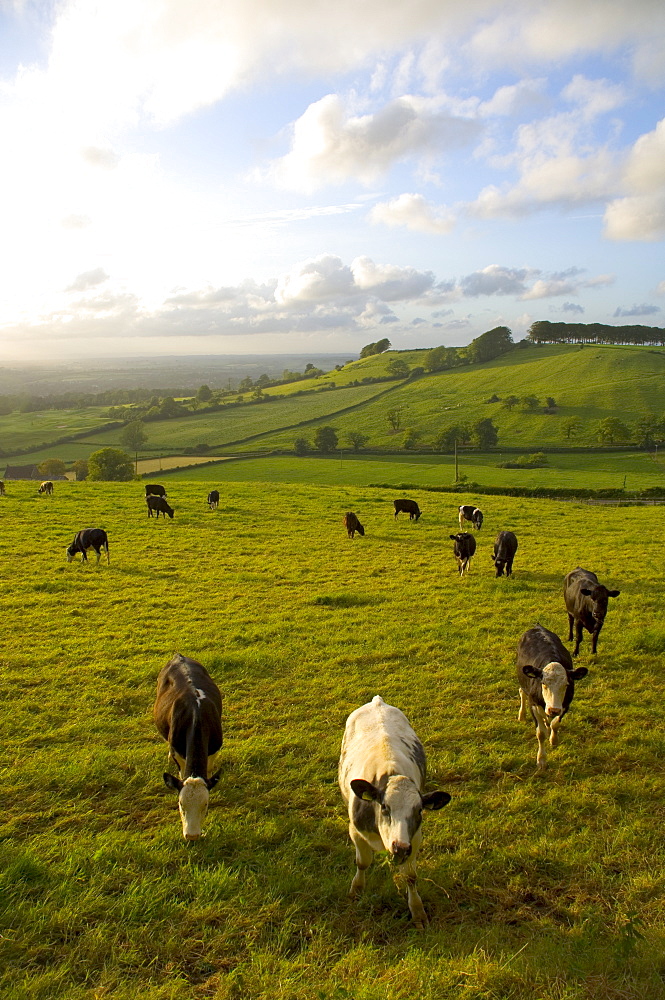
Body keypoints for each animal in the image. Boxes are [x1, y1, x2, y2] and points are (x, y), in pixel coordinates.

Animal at [152, 652, 223, 840]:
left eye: (205, 805)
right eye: (181, 804)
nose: (192, 836)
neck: (196, 715)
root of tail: (179, 656)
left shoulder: (214, 749)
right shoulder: (178, 751)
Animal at [338, 696, 452, 928]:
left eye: (419, 810)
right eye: (384, 807)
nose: (399, 847)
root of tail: (377, 701)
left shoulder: (414, 838)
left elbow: (410, 876)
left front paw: (417, 911)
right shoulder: (355, 831)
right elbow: (362, 862)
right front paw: (356, 890)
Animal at [512, 624, 588, 772]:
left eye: (567, 685)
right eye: (543, 683)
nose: (553, 710)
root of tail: (538, 626)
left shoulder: (565, 706)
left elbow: (555, 723)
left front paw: (554, 740)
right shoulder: (533, 704)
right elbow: (540, 733)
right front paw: (541, 760)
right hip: (523, 682)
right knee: (522, 692)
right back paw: (522, 715)